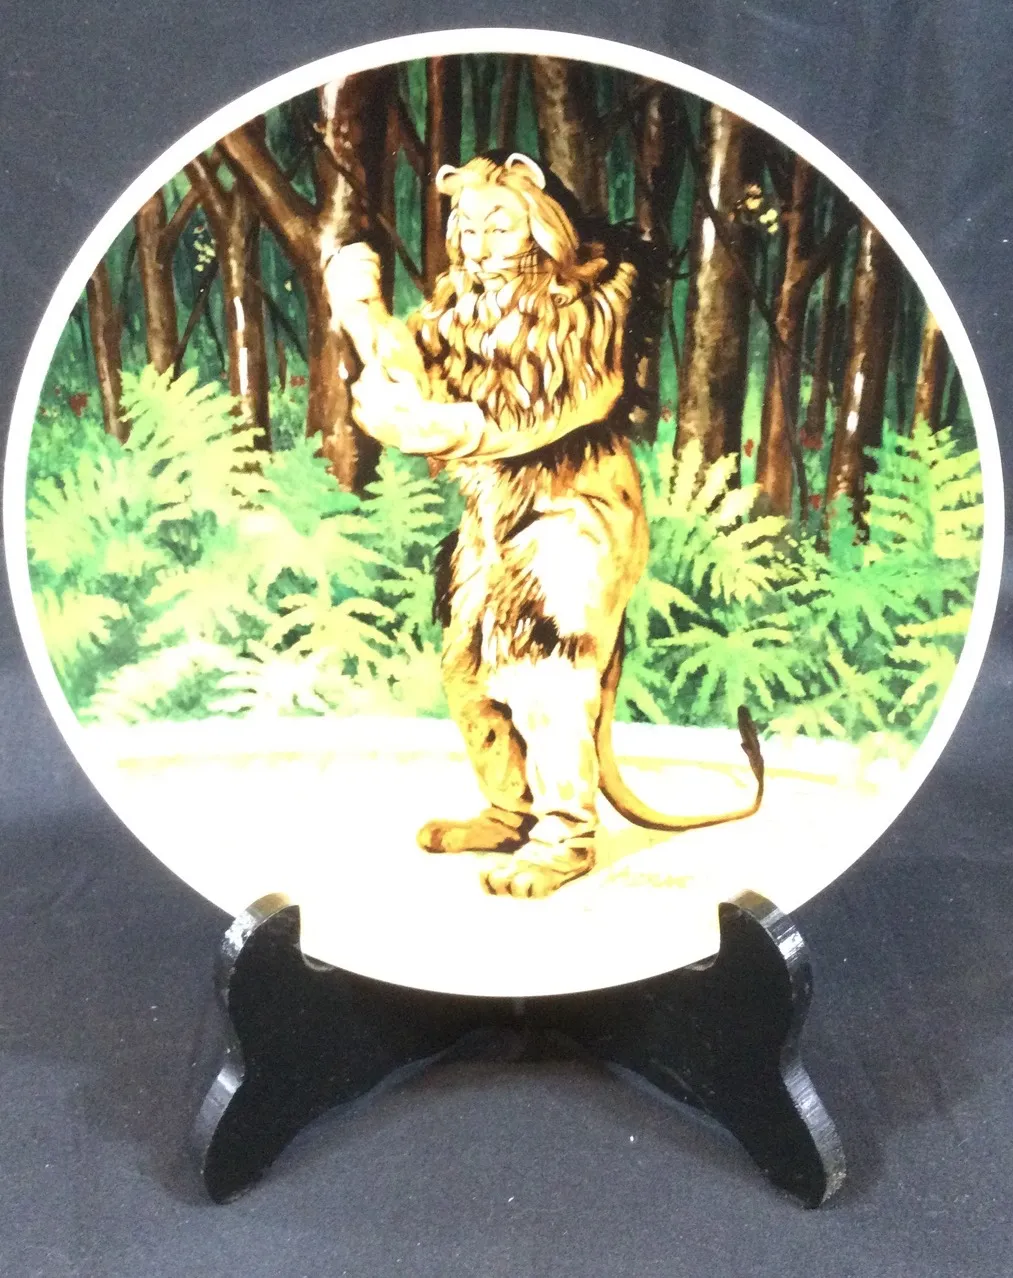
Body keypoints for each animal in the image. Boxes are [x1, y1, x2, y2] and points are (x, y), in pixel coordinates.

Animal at [326, 152, 763, 899]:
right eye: (466, 226)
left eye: (498, 223)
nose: (474, 250)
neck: (510, 292)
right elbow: (408, 343)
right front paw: (354, 276)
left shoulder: (561, 357)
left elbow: (474, 410)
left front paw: (383, 400)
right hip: (476, 609)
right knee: (484, 708)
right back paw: (494, 829)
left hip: (549, 606)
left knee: (551, 718)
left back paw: (544, 861)